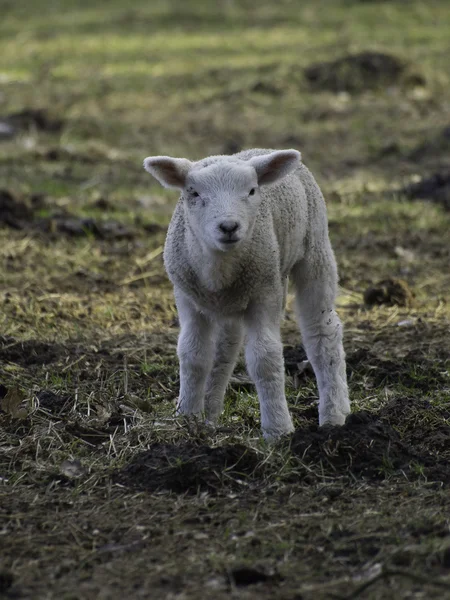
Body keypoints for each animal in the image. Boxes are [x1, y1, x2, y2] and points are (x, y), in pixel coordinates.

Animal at [142, 149, 350, 440]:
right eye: (193, 193)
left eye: (251, 191)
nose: (229, 226)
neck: (219, 269)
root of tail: (260, 150)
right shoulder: (186, 298)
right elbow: (193, 354)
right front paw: (187, 418)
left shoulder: (265, 293)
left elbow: (265, 358)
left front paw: (278, 430)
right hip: (233, 300)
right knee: (225, 349)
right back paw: (210, 414)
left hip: (315, 249)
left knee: (322, 331)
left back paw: (334, 415)